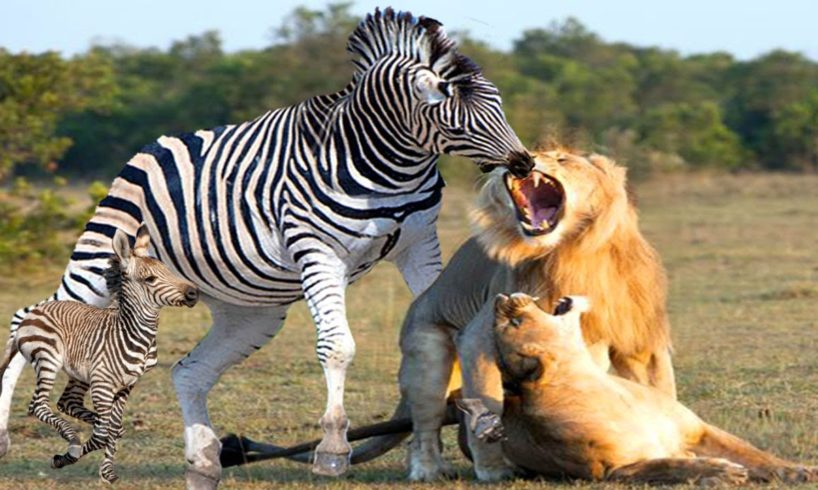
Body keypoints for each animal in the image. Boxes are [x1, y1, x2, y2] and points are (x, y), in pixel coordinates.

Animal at [0, 225, 198, 483]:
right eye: (150, 279)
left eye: (168, 271)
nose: (194, 294)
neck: (134, 335)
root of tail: (35, 311)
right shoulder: (102, 385)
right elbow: (104, 432)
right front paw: (72, 456)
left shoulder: (126, 385)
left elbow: (111, 428)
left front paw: (107, 473)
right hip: (48, 359)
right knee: (39, 405)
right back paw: (73, 442)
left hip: (79, 373)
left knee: (68, 403)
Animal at [483, 292, 816, 484]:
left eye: (513, 322)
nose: (498, 298)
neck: (591, 380)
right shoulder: (613, 470)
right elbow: (670, 466)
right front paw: (722, 471)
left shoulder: (698, 430)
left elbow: (758, 456)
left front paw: (801, 471)